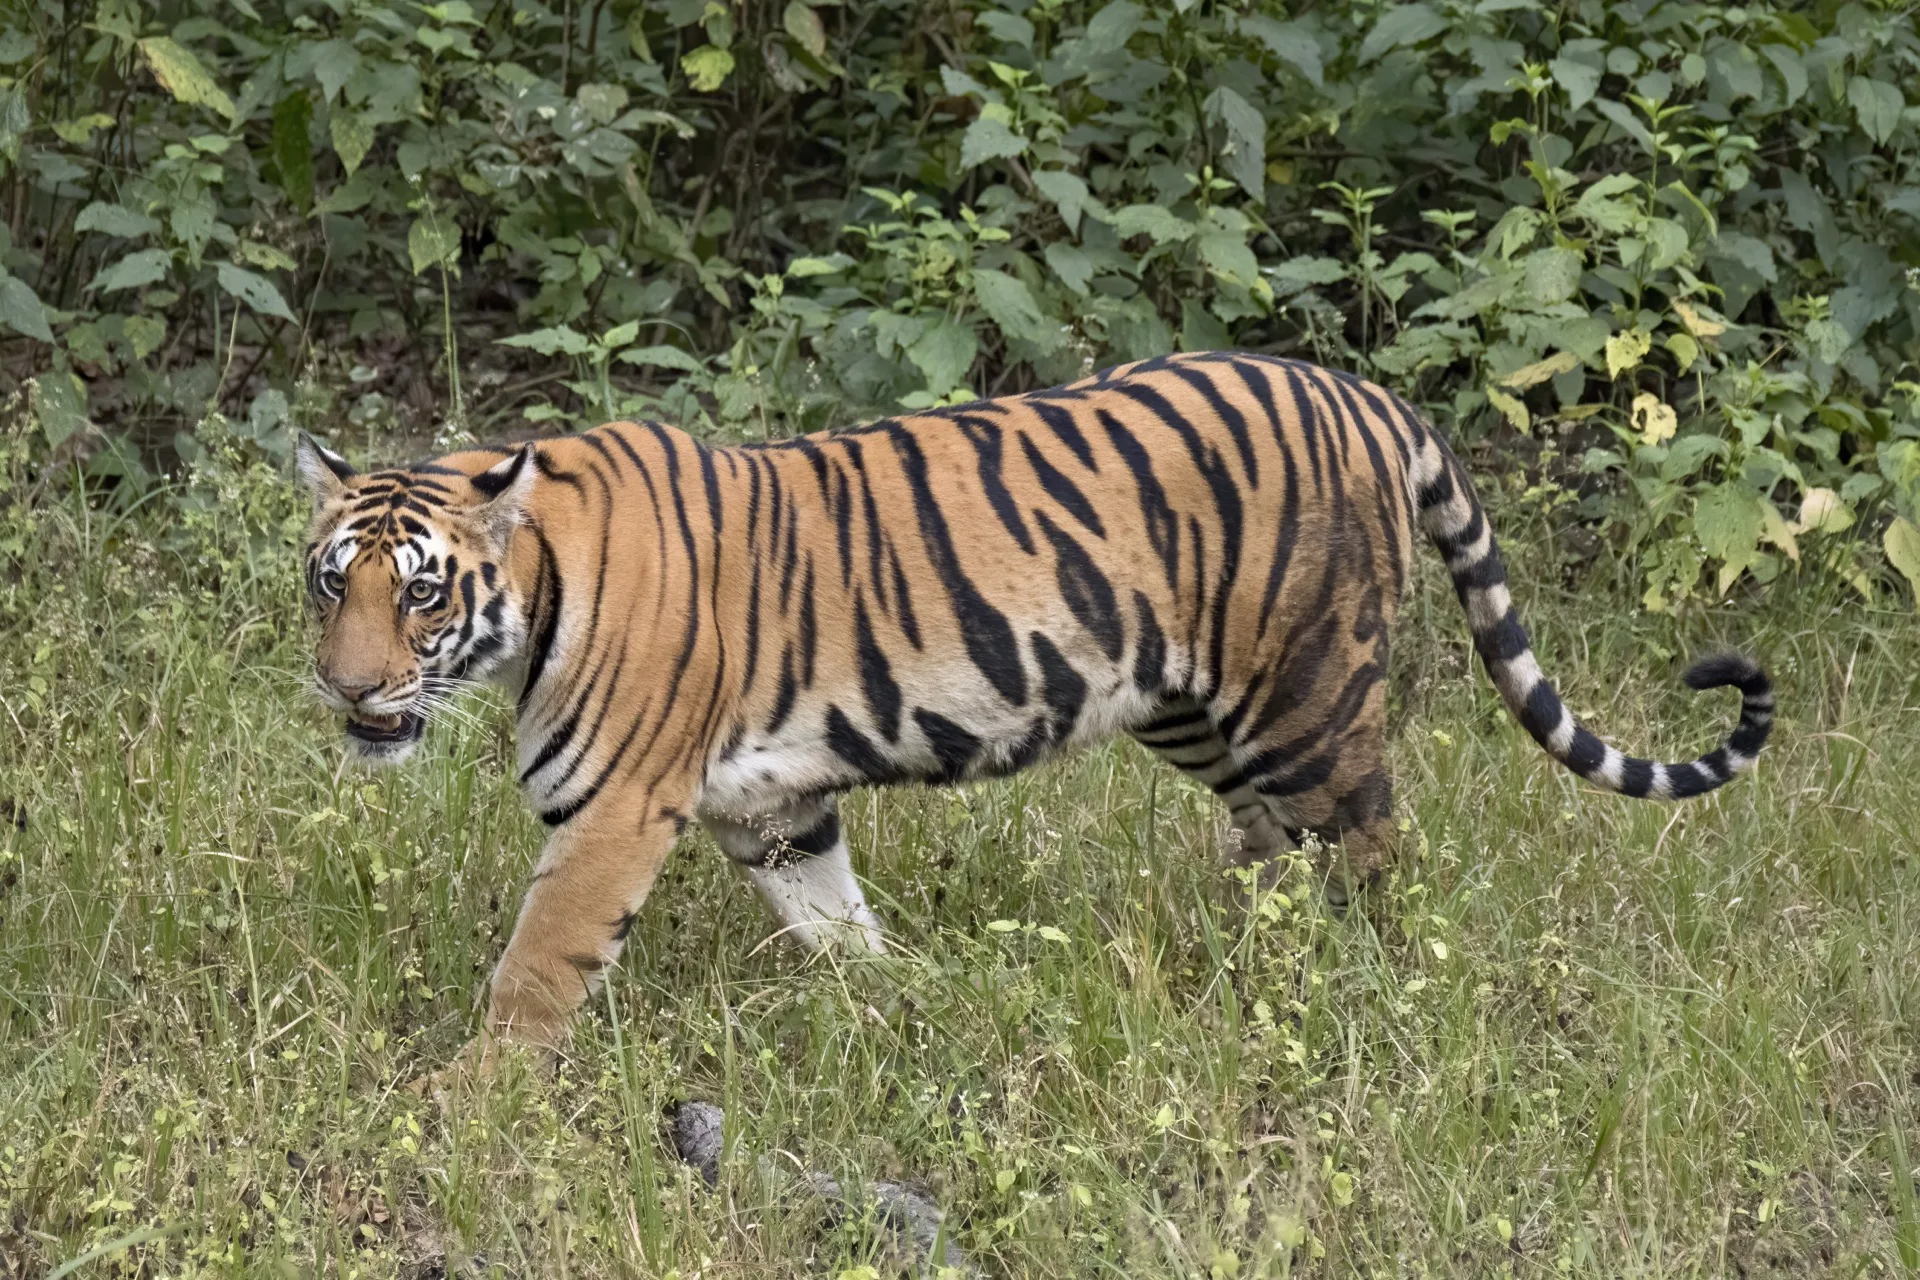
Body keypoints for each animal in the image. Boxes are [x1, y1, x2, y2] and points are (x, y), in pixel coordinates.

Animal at [293, 350, 1773, 1058]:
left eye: (421, 593)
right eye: (329, 582)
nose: (347, 687)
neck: (532, 599)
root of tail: (1363, 393)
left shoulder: (612, 815)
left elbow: (537, 969)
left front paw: (474, 1101)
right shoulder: (774, 808)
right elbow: (837, 923)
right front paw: (907, 1002)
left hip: (1307, 696)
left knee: (1374, 852)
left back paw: (1369, 990)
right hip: (1194, 707)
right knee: (1273, 848)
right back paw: (1247, 964)